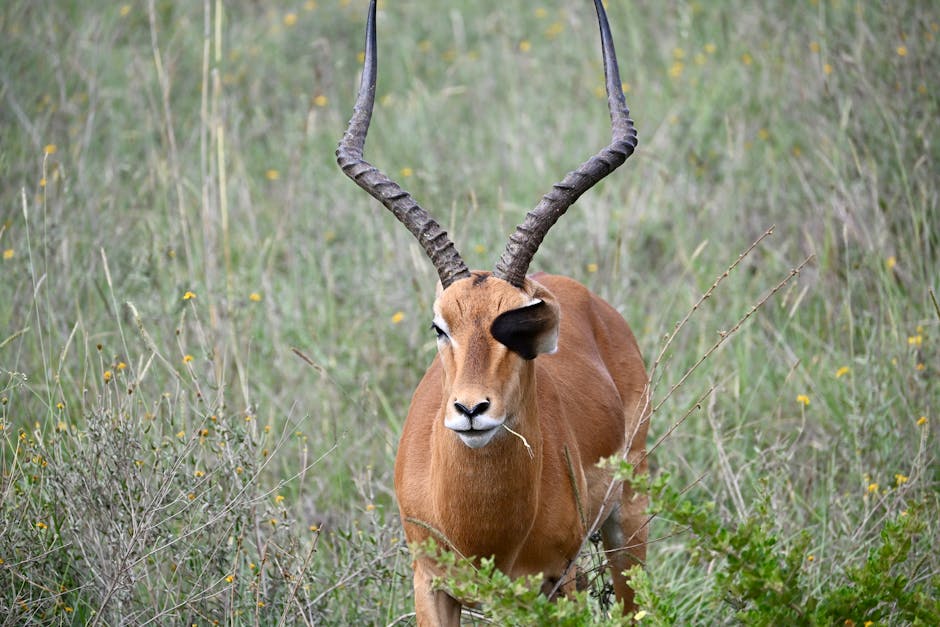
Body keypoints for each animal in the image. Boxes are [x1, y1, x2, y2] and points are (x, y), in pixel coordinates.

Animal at [337, 0, 649, 622]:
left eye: (523, 327)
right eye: (440, 327)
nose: (471, 410)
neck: (481, 529)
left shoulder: (552, 584)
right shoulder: (430, 584)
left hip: (629, 522)